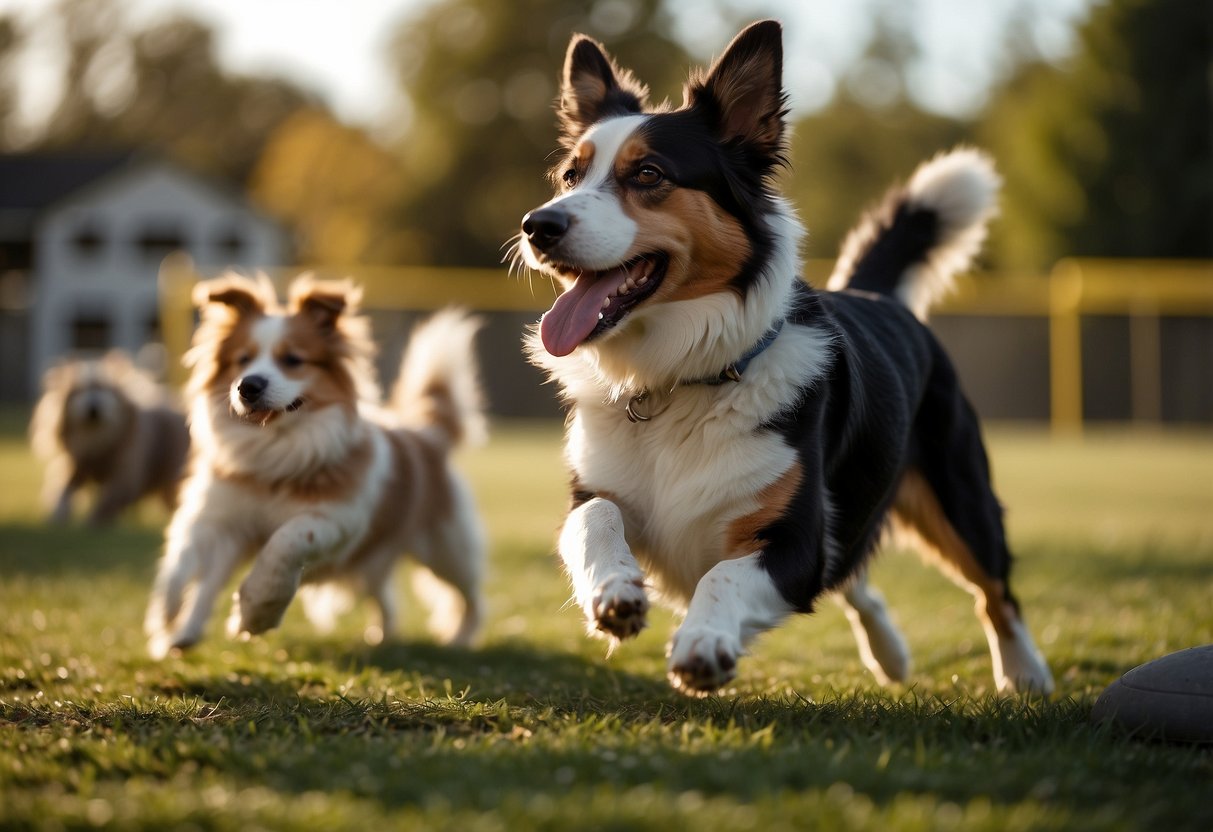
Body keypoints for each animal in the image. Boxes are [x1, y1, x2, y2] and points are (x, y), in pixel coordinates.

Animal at [29, 354, 189, 528]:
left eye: (104, 389)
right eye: (80, 391)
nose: (93, 408)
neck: (97, 441)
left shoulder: (125, 474)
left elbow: (106, 501)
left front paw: (94, 523)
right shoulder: (74, 465)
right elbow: (63, 492)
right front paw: (58, 517)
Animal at [516, 19, 1057, 698]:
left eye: (648, 174)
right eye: (570, 177)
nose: (537, 226)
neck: (674, 379)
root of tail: (876, 294)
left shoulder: (795, 543)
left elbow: (722, 577)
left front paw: (703, 643)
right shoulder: (593, 493)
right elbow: (597, 520)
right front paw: (615, 593)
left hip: (960, 496)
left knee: (994, 590)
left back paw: (1025, 674)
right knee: (858, 578)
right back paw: (891, 655)